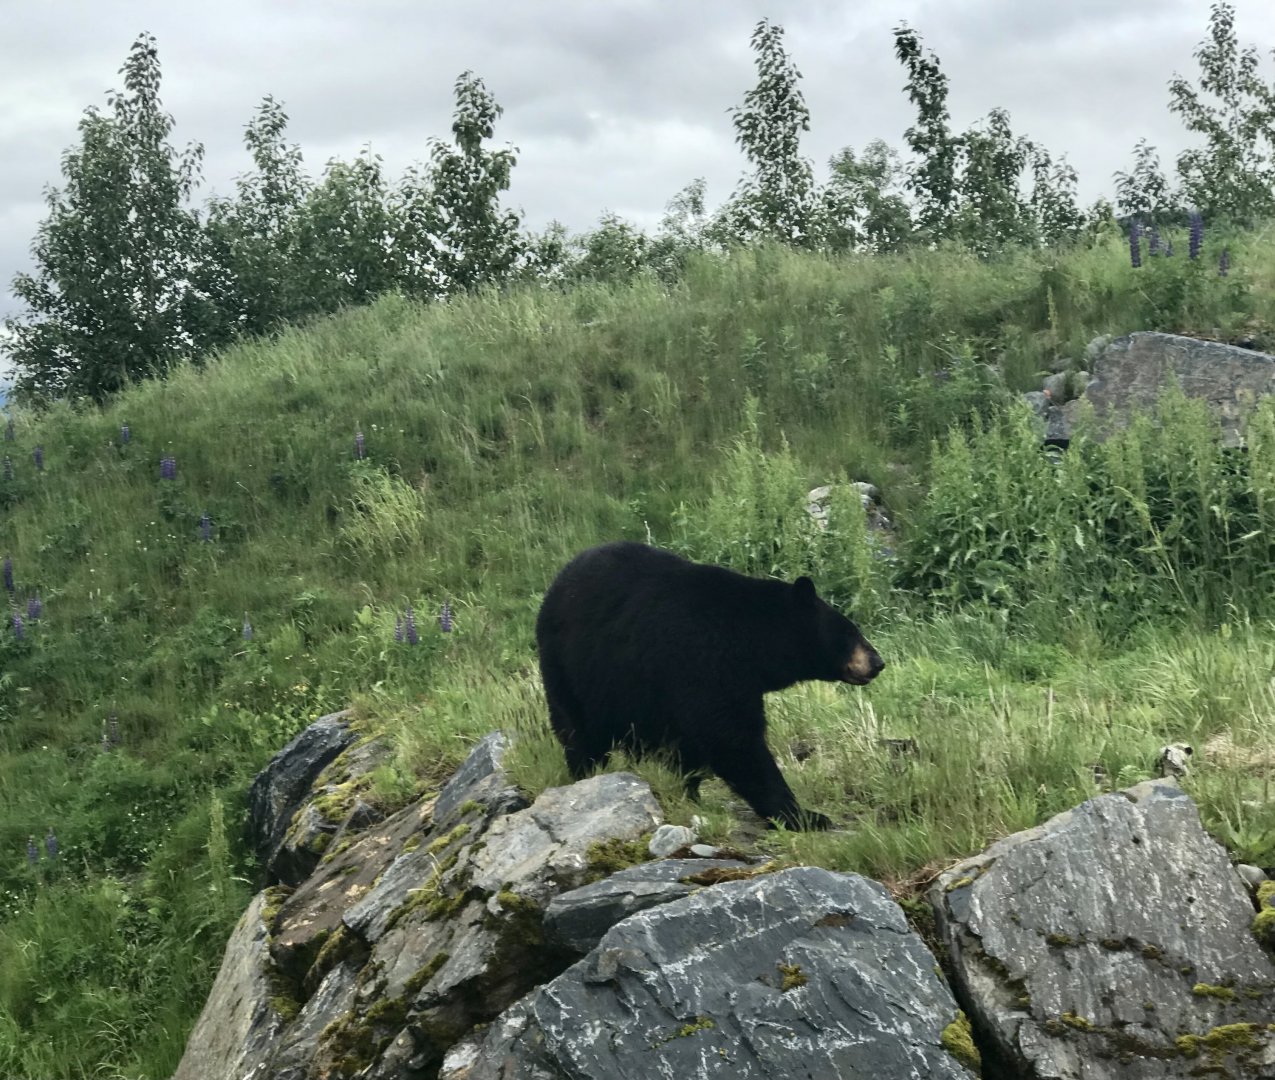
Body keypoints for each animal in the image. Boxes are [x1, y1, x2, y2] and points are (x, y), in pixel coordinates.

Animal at [535, 541, 884, 831]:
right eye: (850, 632)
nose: (877, 662)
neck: (754, 639)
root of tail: (557, 583)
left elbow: (694, 744)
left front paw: (690, 793)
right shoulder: (705, 657)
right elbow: (733, 737)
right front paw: (803, 815)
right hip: (568, 666)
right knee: (578, 730)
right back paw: (586, 775)